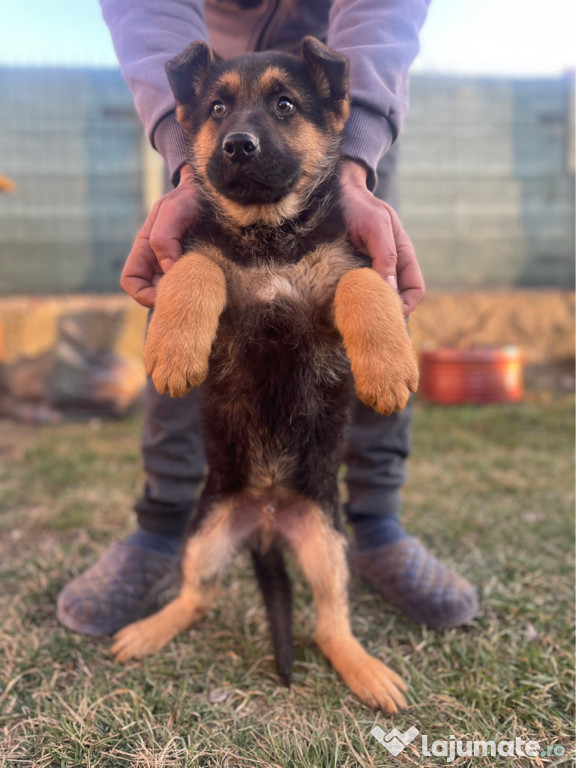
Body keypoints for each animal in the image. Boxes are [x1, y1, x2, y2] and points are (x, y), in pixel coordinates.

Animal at [112, 37, 418, 712]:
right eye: (218, 108)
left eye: (284, 105)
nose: (237, 145)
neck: (269, 232)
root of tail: (270, 524)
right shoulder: (221, 298)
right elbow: (195, 267)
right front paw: (174, 351)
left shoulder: (330, 300)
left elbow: (362, 280)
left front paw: (387, 369)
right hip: (205, 535)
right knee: (196, 598)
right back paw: (150, 629)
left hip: (328, 545)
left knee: (330, 624)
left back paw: (365, 669)